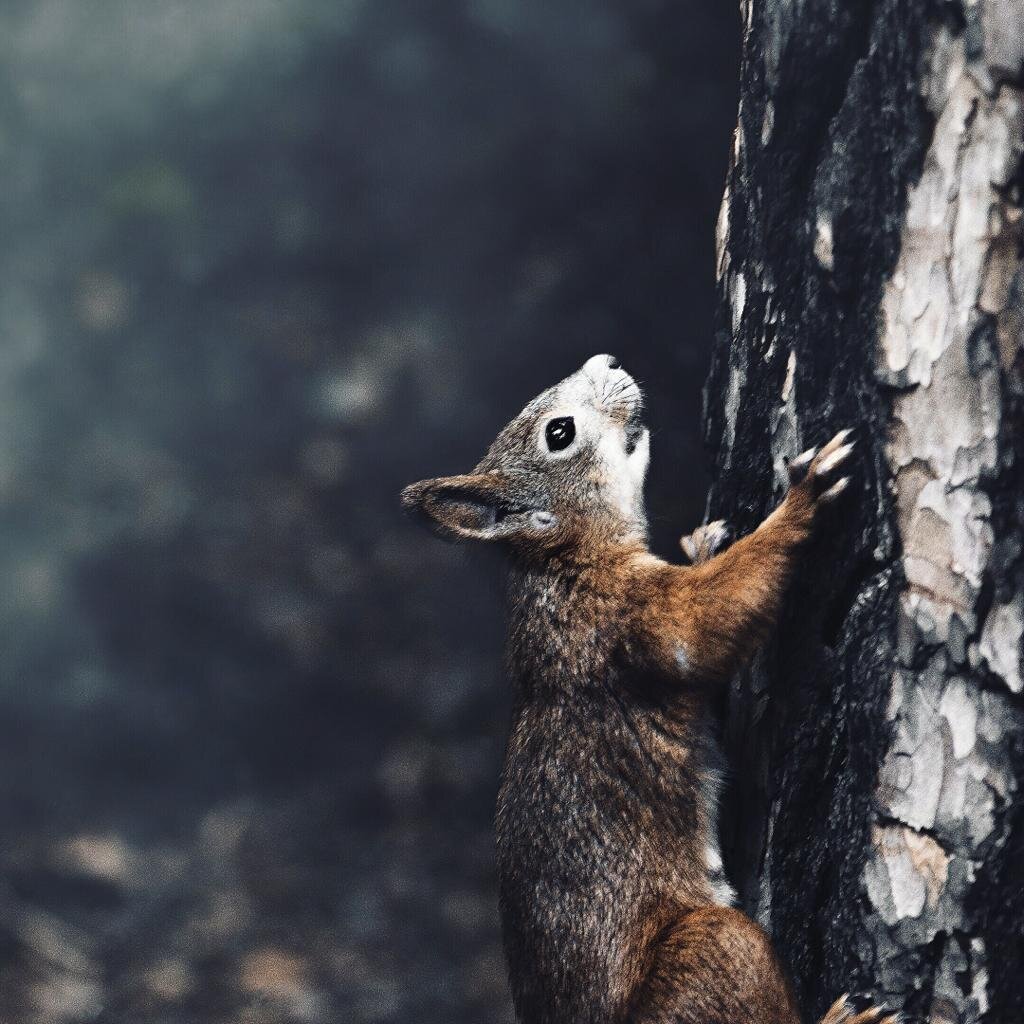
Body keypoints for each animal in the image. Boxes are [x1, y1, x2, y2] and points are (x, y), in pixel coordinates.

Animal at [399, 354, 897, 1024]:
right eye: (560, 434)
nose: (607, 360)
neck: (564, 563)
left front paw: (704, 545)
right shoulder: (624, 620)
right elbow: (706, 620)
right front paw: (803, 500)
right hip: (714, 950)